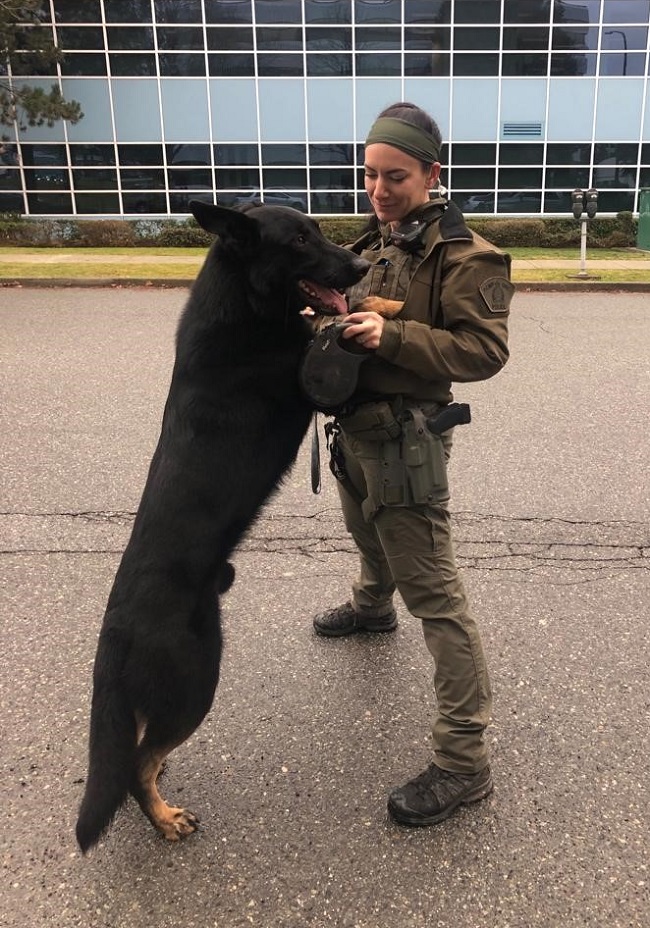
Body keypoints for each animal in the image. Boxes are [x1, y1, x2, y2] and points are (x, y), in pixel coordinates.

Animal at [74, 203, 370, 856]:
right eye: (300, 239)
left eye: (320, 229)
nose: (362, 263)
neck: (242, 304)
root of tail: (115, 637)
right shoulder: (303, 370)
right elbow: (341, 322)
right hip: (197, 681)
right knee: (135, 765)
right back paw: (164, 818)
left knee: (137, 756)